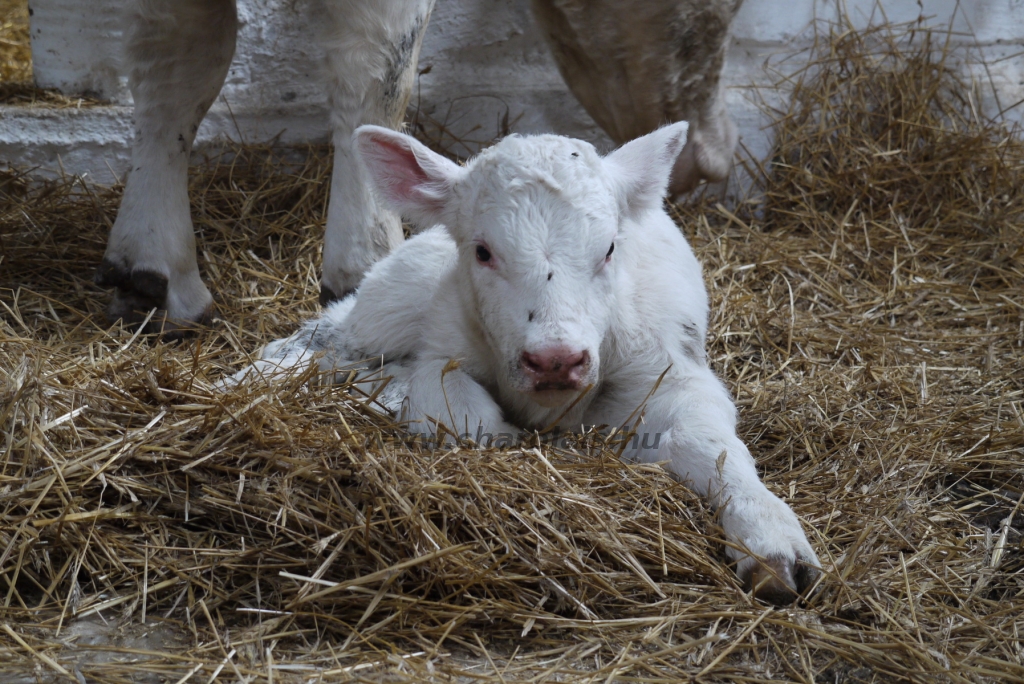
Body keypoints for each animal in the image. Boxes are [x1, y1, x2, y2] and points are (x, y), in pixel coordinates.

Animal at [230, 124, 815, 602]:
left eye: (609, 249)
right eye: (483, 251)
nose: (554, 360)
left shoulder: (675, 373)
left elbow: (710, 445)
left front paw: (773, 545)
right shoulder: (442, 356)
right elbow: (465, 416)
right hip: (393, 299)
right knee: (333, 336)